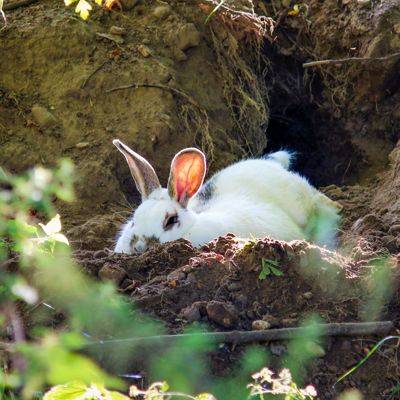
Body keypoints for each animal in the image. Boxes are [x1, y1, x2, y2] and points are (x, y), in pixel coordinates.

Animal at [112, 139, 340, 255]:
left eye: (171, 221)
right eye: (133, 221)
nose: (139, 247)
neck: (192, 226)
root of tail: (271, 163)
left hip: (301, 199)